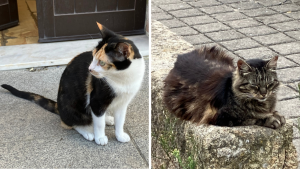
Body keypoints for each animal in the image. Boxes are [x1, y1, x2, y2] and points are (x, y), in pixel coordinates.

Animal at [0, 21, 144, 145]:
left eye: (102, 62)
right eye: (93, 56)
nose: (89, 69)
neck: (122, 79)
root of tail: (59, 107)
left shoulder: (123, 102)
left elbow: (120, 120)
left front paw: (120, 135)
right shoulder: (96, 100)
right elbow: (99, 123)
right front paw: (100, 137)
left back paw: (107, 118)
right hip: (72, 108)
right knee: (71, 123)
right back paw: (88, 132)